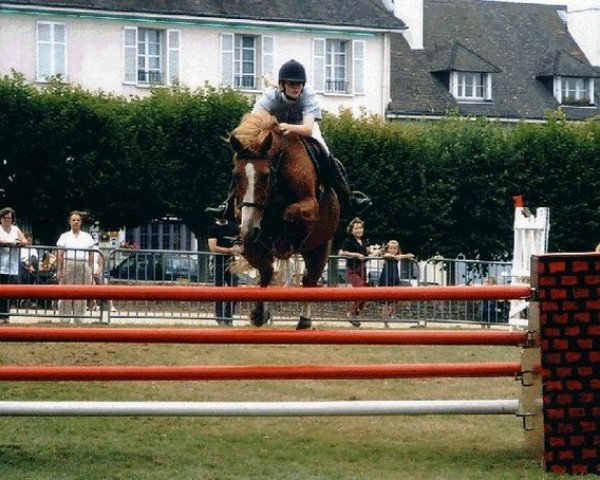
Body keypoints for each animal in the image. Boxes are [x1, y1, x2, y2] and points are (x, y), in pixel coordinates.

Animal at [227, 111, 340, 330]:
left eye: (265, 176)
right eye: (235, 176)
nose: (249, 230)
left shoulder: (309, 204)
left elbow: (291, 212)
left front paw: (285, 242)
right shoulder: (244, 218)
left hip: (321, 246)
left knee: (309, 279)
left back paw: (304, 320)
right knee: (266, 269)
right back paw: (259, 313)